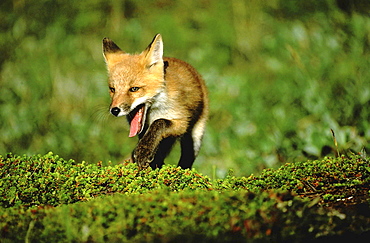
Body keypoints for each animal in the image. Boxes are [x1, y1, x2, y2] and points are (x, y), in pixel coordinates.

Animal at [102, 33, 210, 171]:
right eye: (112, 89)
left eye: (134, 89)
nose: (115, 110)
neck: (154, 111)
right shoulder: (143, 131)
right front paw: (145, 154)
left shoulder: (181, 121)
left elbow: (159, 122)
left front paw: (143, 152)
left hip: (195, 135)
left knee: (187, 158)